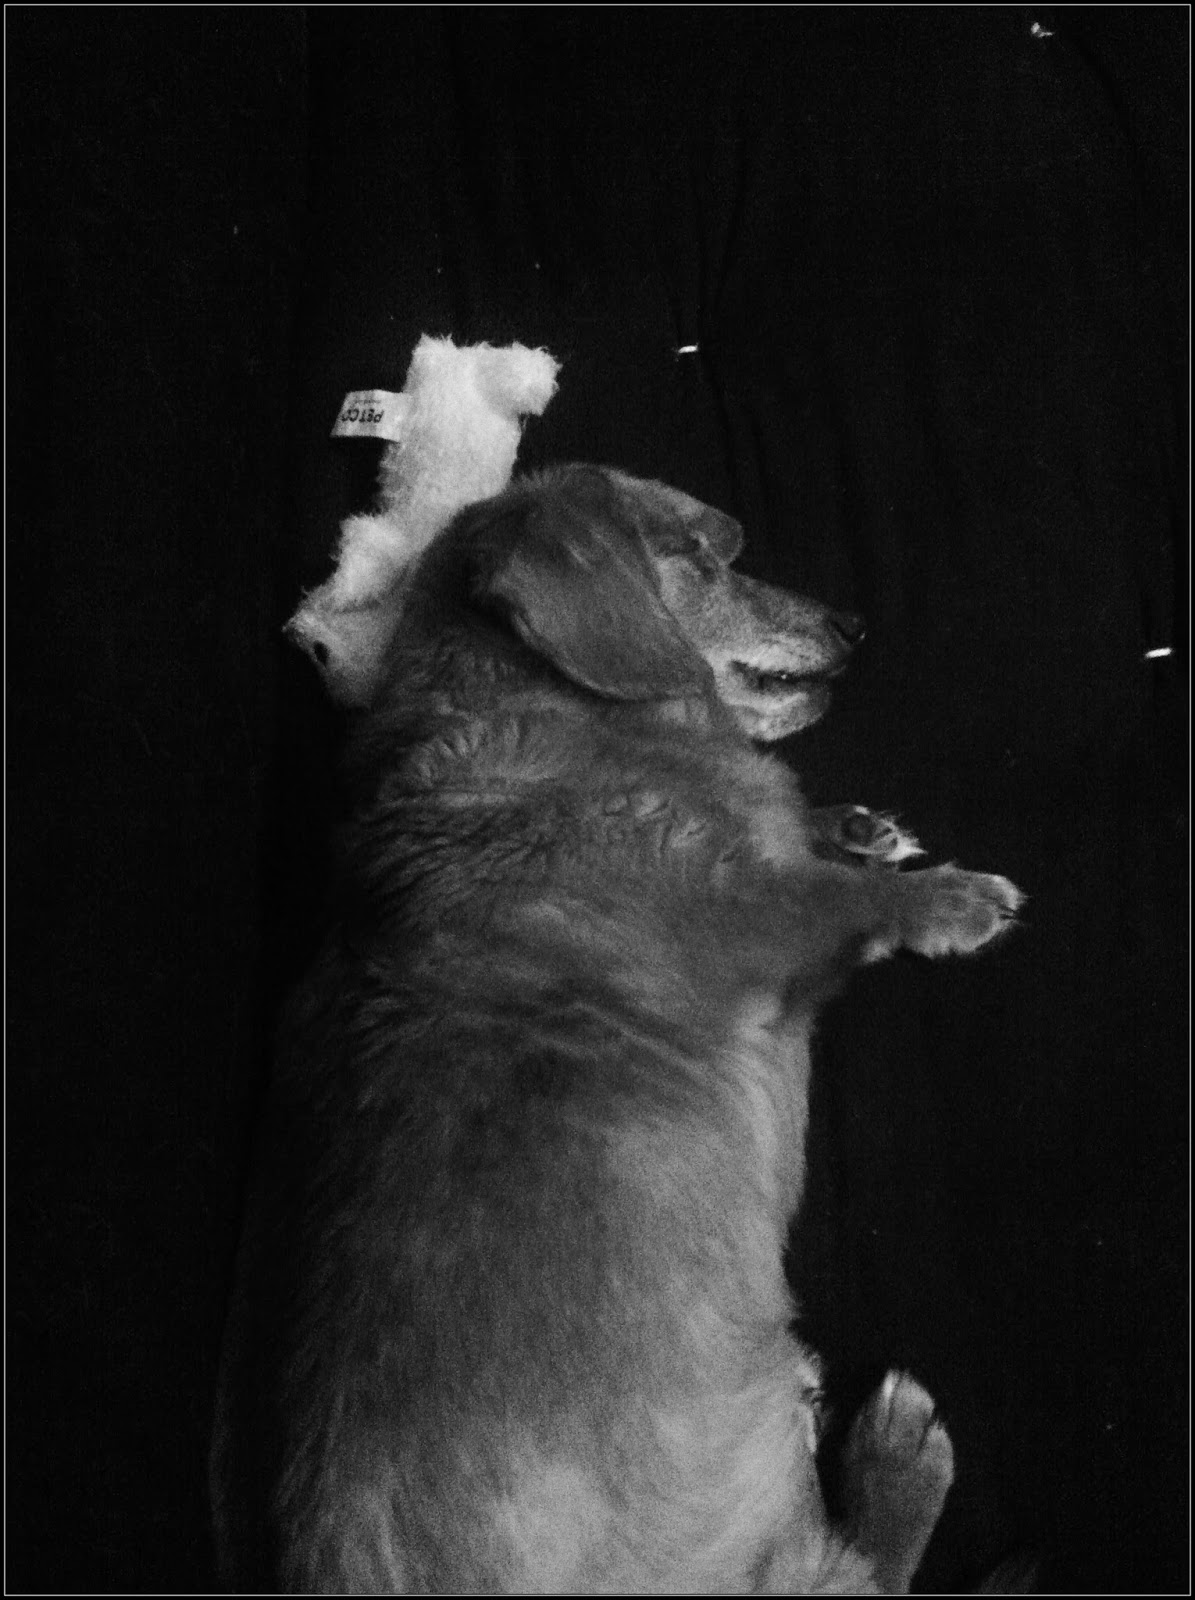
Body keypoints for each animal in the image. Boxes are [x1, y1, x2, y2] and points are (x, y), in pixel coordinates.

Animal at [211, 464, 1023, 1593]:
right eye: (700, 552)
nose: (854, 625)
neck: (548, 721)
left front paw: (855, 827)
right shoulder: (756, 924)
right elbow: (840, 902)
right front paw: (948, 899)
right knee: (870, 1571)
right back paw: (896, 1457)